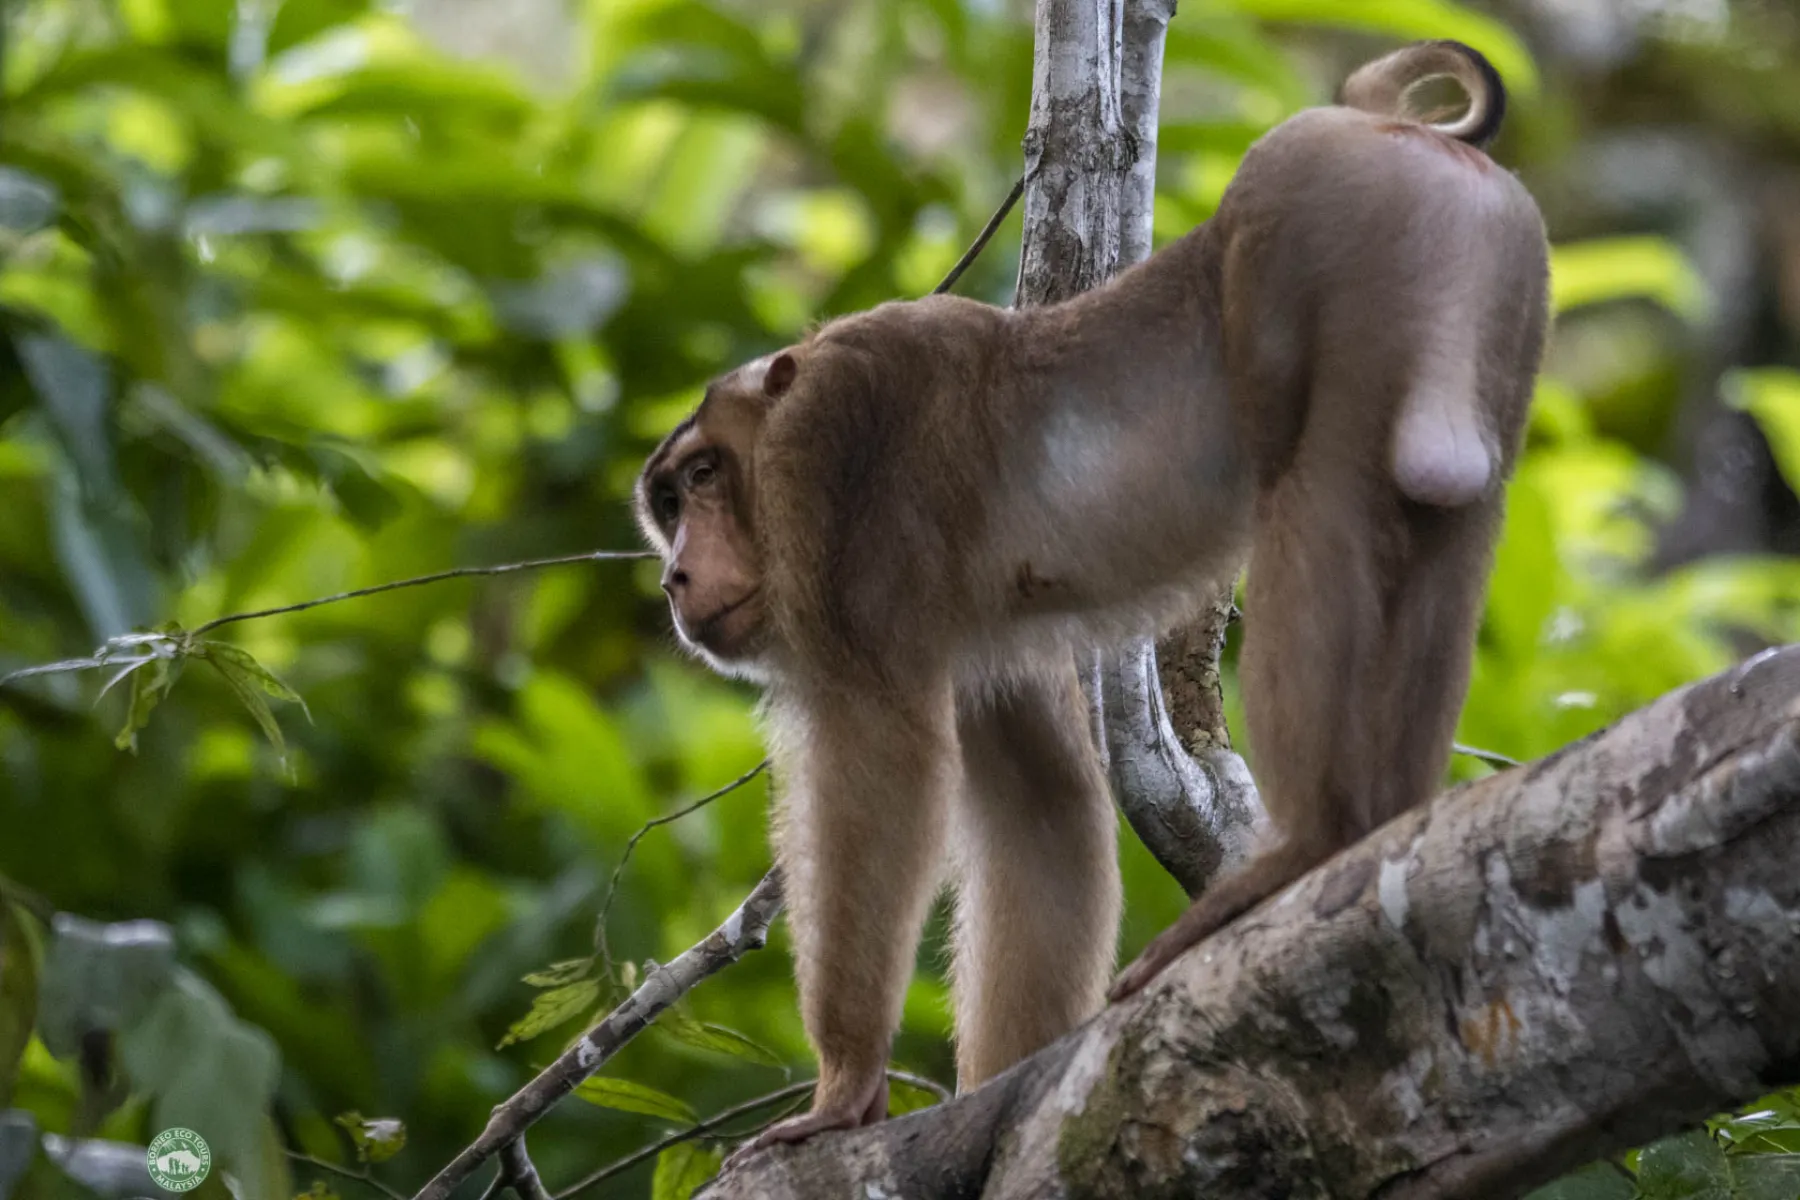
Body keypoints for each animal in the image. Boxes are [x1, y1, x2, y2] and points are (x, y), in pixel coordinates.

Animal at [634, 39, 1548, 1152]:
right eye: (667, 504)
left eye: (702, 479)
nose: (676, 573)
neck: (772, 436)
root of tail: (1397, 136)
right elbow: (1045, 809)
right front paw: (993, 1089)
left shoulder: (828, 466)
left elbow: (880, 761)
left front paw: (844, 1084)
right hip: (1506, 282)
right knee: (1449, 520)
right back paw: (1383, 827)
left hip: (1322, 228)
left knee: (1319, 494)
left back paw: (1313, 842)